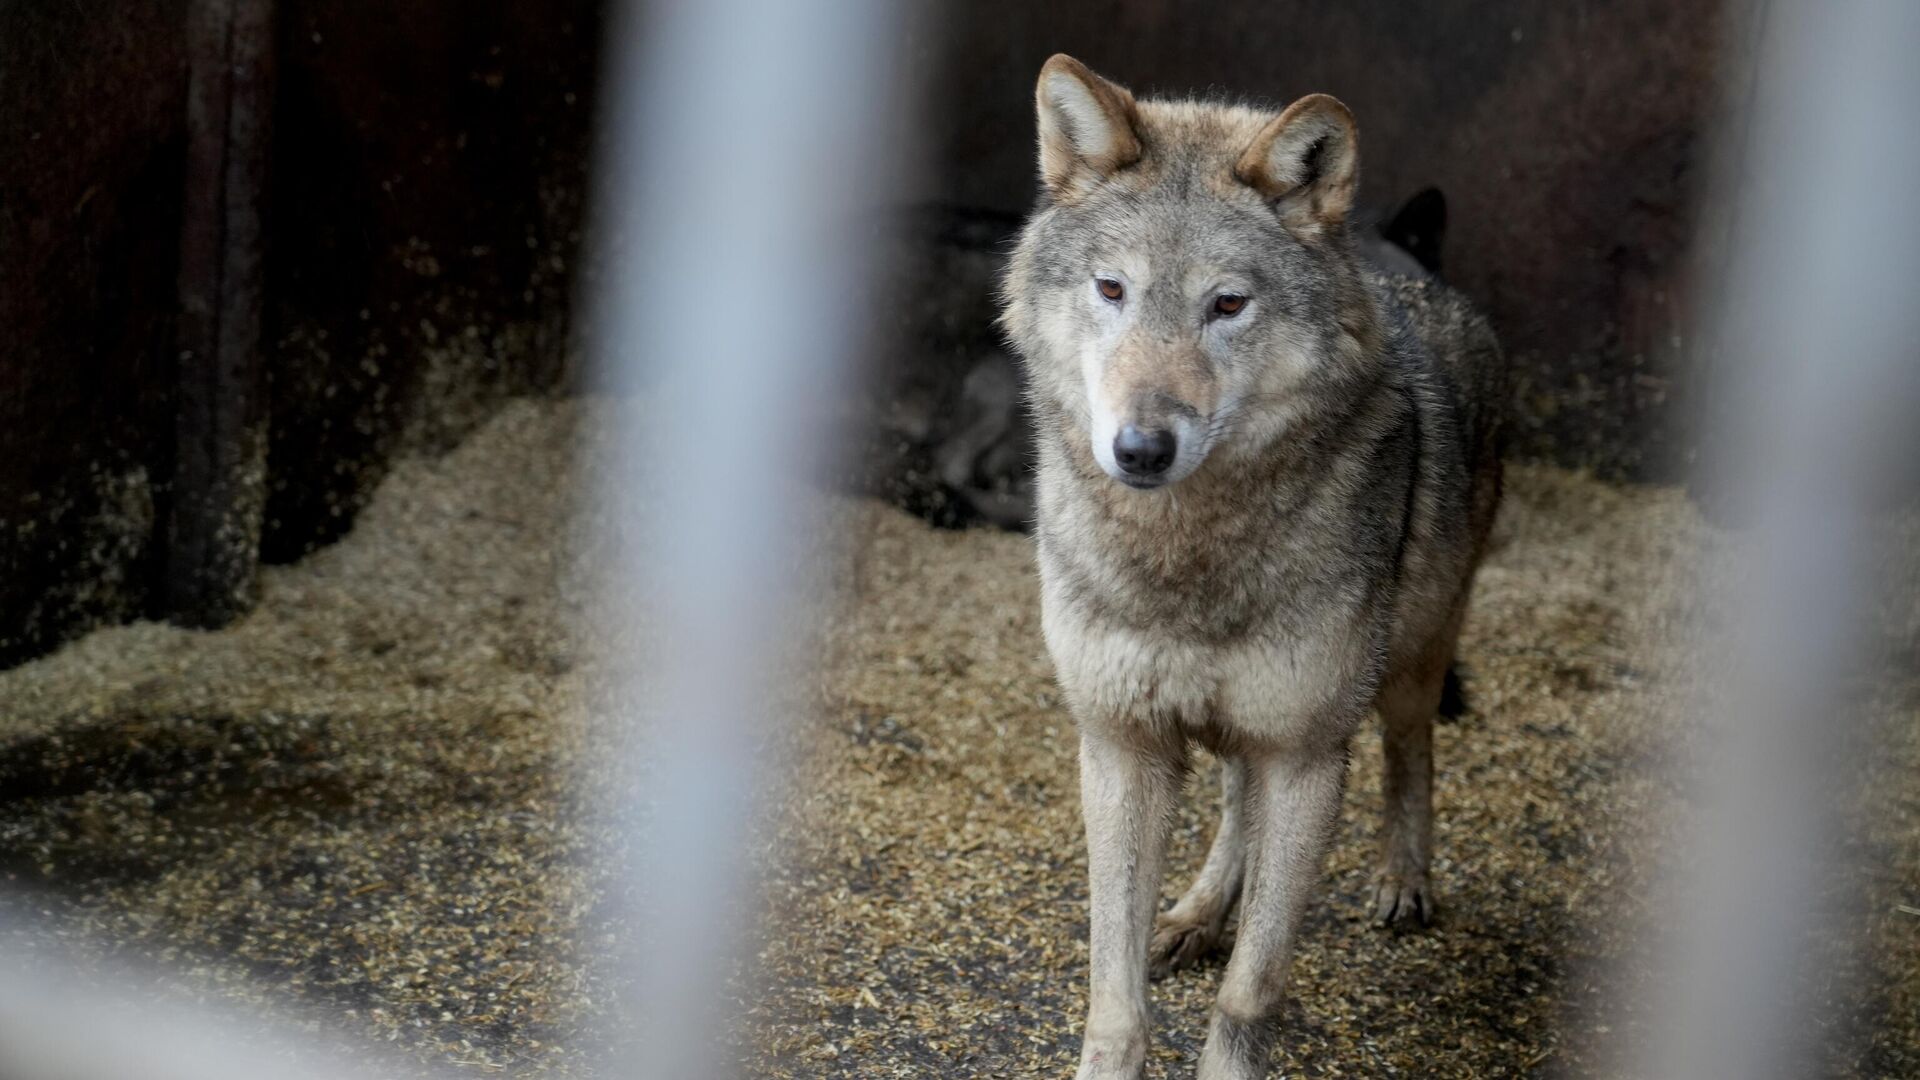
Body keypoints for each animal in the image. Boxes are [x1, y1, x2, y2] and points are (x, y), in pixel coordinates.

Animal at [998, 58, 1505, 1076]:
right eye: (1111, 289)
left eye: (1227, 304)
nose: (1140, 448)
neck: (1188, 564)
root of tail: (1421, 281)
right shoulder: (1120, 745)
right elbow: (1115, 991)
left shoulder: (1309, 757)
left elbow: (1251, 989)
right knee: (1237, 801)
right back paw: (1197, 915)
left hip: (1405, 667)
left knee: (1411, 750)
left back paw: (1404, 880)